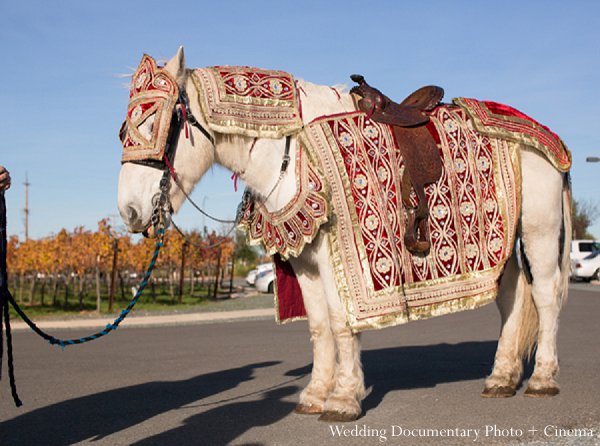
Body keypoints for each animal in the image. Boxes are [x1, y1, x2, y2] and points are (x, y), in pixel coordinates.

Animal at [117, 48, 572, 422]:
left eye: (155, 123)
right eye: (125, 129)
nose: (130, 212)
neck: (290, 150)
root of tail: (544, 134)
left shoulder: (339, 255)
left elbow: (341, 323)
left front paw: (343, 398)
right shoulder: (304, 262)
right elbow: (319, 326)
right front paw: (315, 393)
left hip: (539, 228)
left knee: (546, 295)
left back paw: (542, 379)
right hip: (503, 239)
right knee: (512, 295)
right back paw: (501, 377)